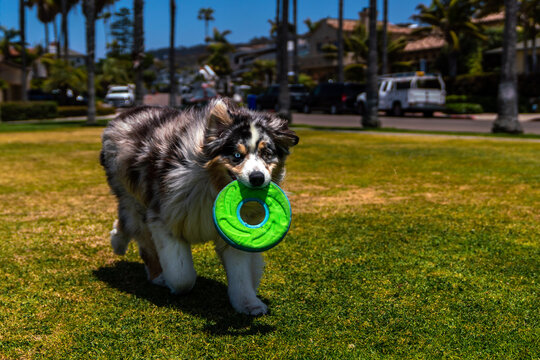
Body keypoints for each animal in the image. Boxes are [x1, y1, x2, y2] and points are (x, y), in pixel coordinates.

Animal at [100, 99, 300, 316]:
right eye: (237, 155)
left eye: (267, 153)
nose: (257, 178)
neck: (212, 184)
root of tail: (123, 114)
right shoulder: (164, 217)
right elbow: (182, 276)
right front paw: (173, 283)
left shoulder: (236, 231)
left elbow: (240, 272)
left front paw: (249, 304)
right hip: (133, 195)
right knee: (137, 229)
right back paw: (140, 261)